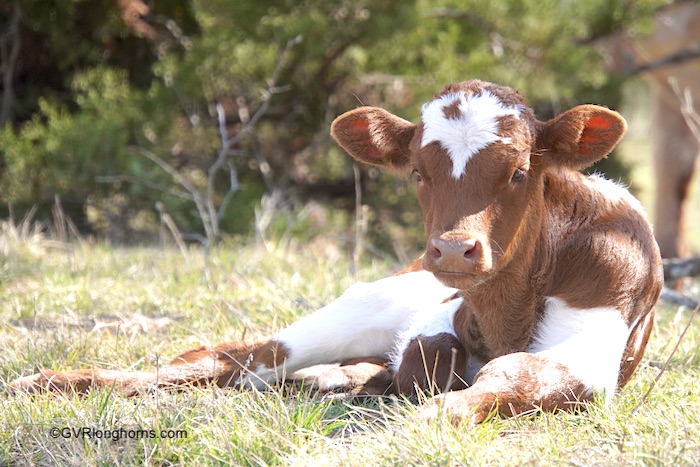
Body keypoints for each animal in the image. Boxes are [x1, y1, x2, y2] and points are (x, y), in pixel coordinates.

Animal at [8, 79, 660, 424]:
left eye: (521, 171)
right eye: (418, 172)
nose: (453, 253)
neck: (505, 313)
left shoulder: (592, 346)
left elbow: (512, 374)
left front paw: (427, 413)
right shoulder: (438, 312)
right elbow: (444, 353)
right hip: (365, 302)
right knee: (235, 358)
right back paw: (48, 383)